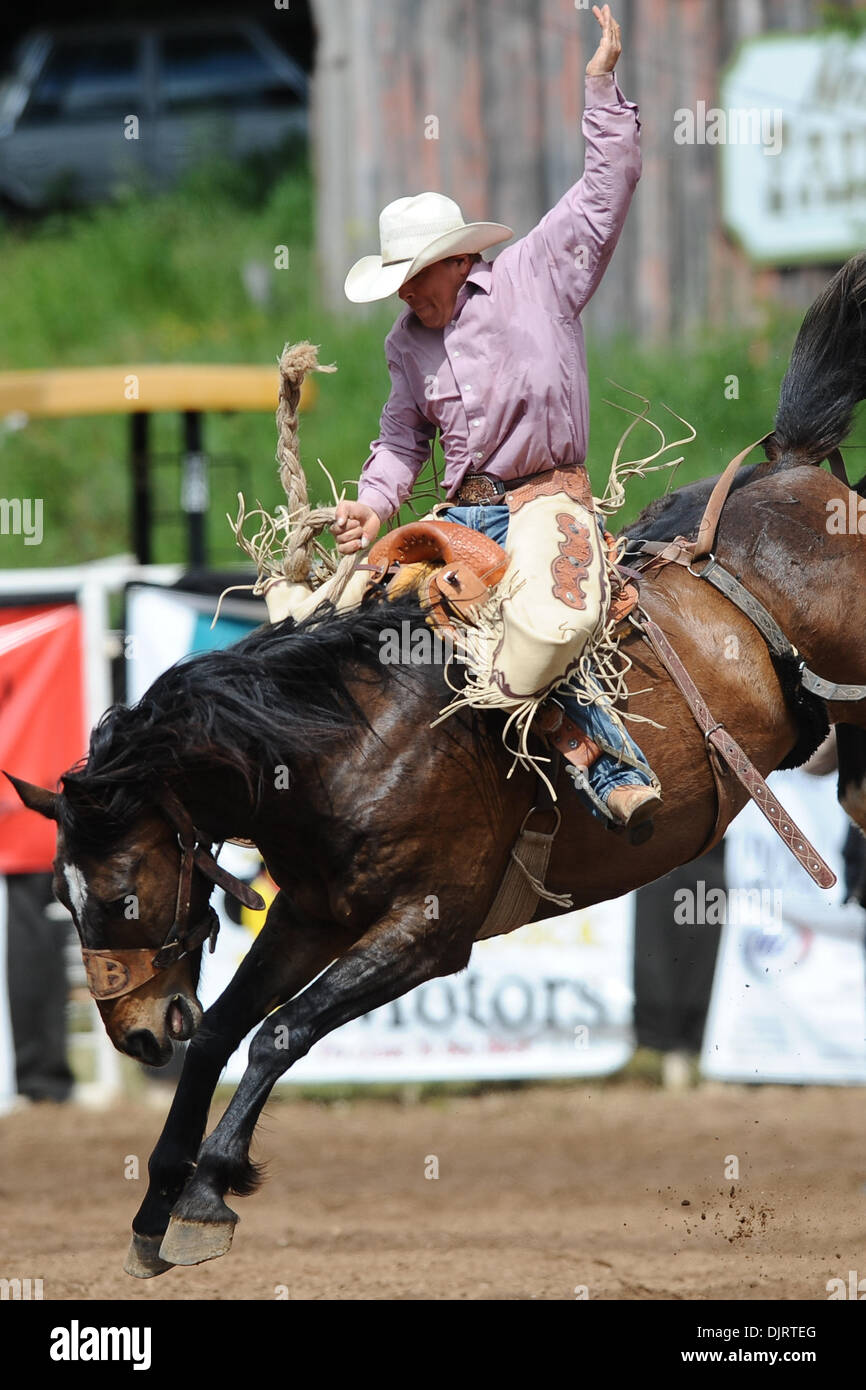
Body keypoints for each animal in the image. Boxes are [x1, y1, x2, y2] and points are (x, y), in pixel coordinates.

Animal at [10, 250, 866, 1273]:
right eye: (63, 898)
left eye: (121, 888)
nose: (136, 1035)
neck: (354, 742)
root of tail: (790, 470)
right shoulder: (309, 912)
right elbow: (222, 1029)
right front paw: (155, 1208)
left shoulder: (426, 930)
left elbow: (280, 1034)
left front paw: (211, 1191)